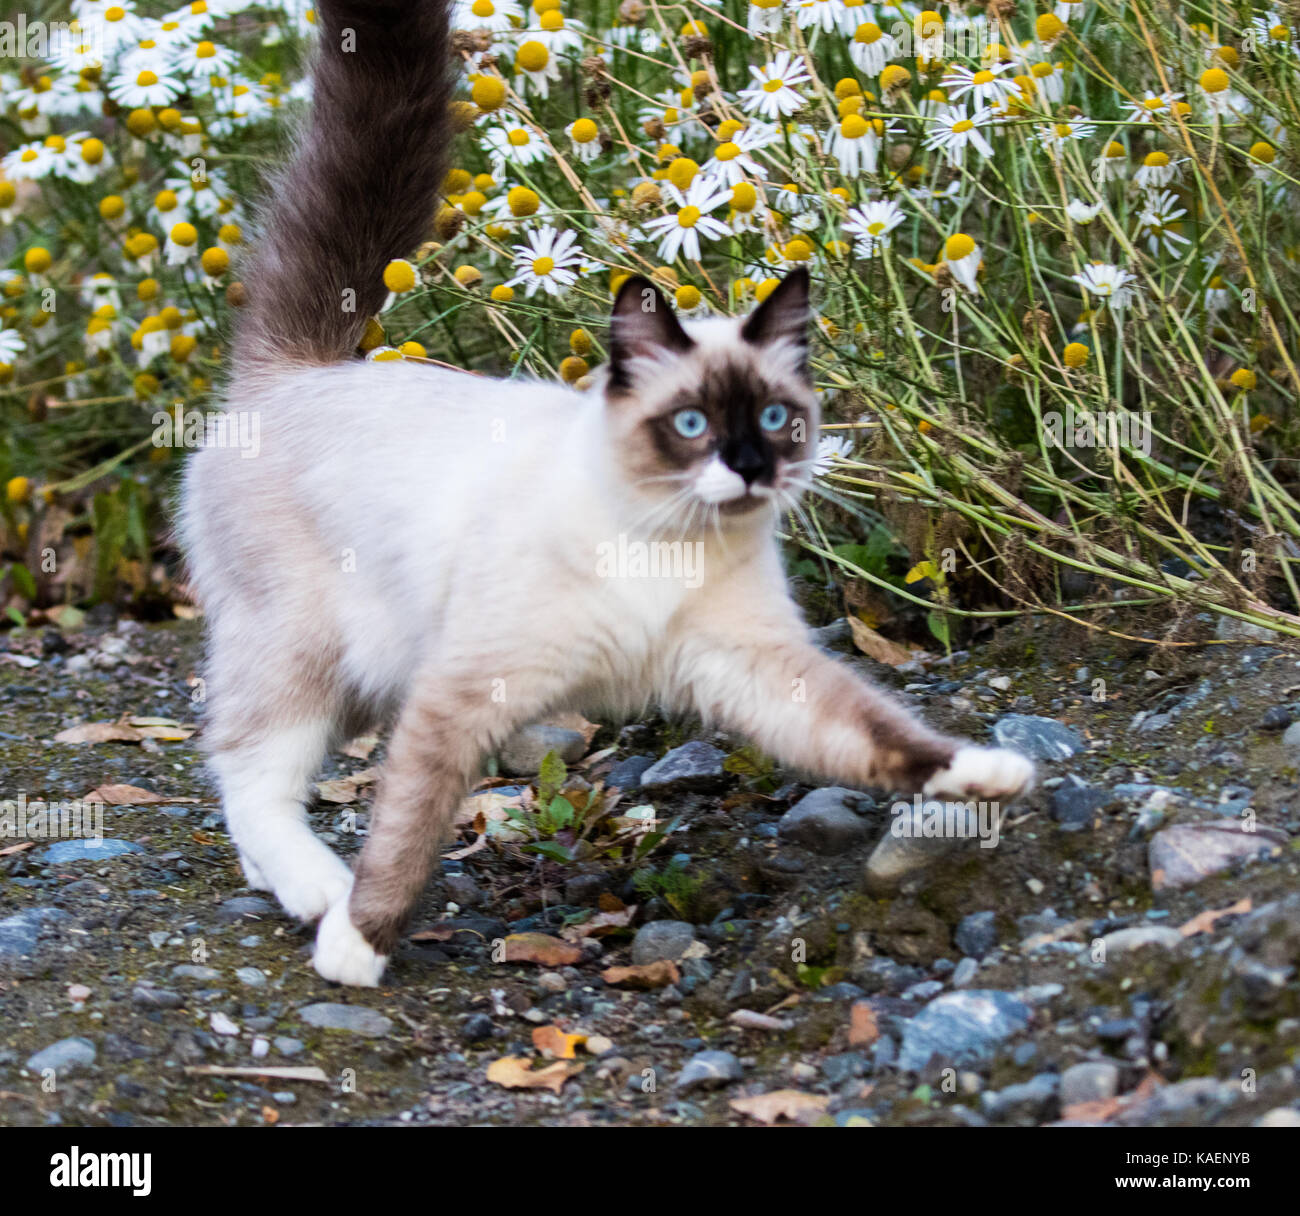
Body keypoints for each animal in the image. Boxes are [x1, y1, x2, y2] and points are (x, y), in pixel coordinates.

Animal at [180, 0, 1034, 988]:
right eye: (693, 424)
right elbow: (406, 833)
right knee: (246, 769)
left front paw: (985, 776)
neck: (664, 538)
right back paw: (320, 893)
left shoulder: (762, 674)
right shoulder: (455, 699)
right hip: (310, 652)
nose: (753, 467)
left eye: (777, 418)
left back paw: (288, 885)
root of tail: (303, 368)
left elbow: (884, 736)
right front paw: (360, 945)